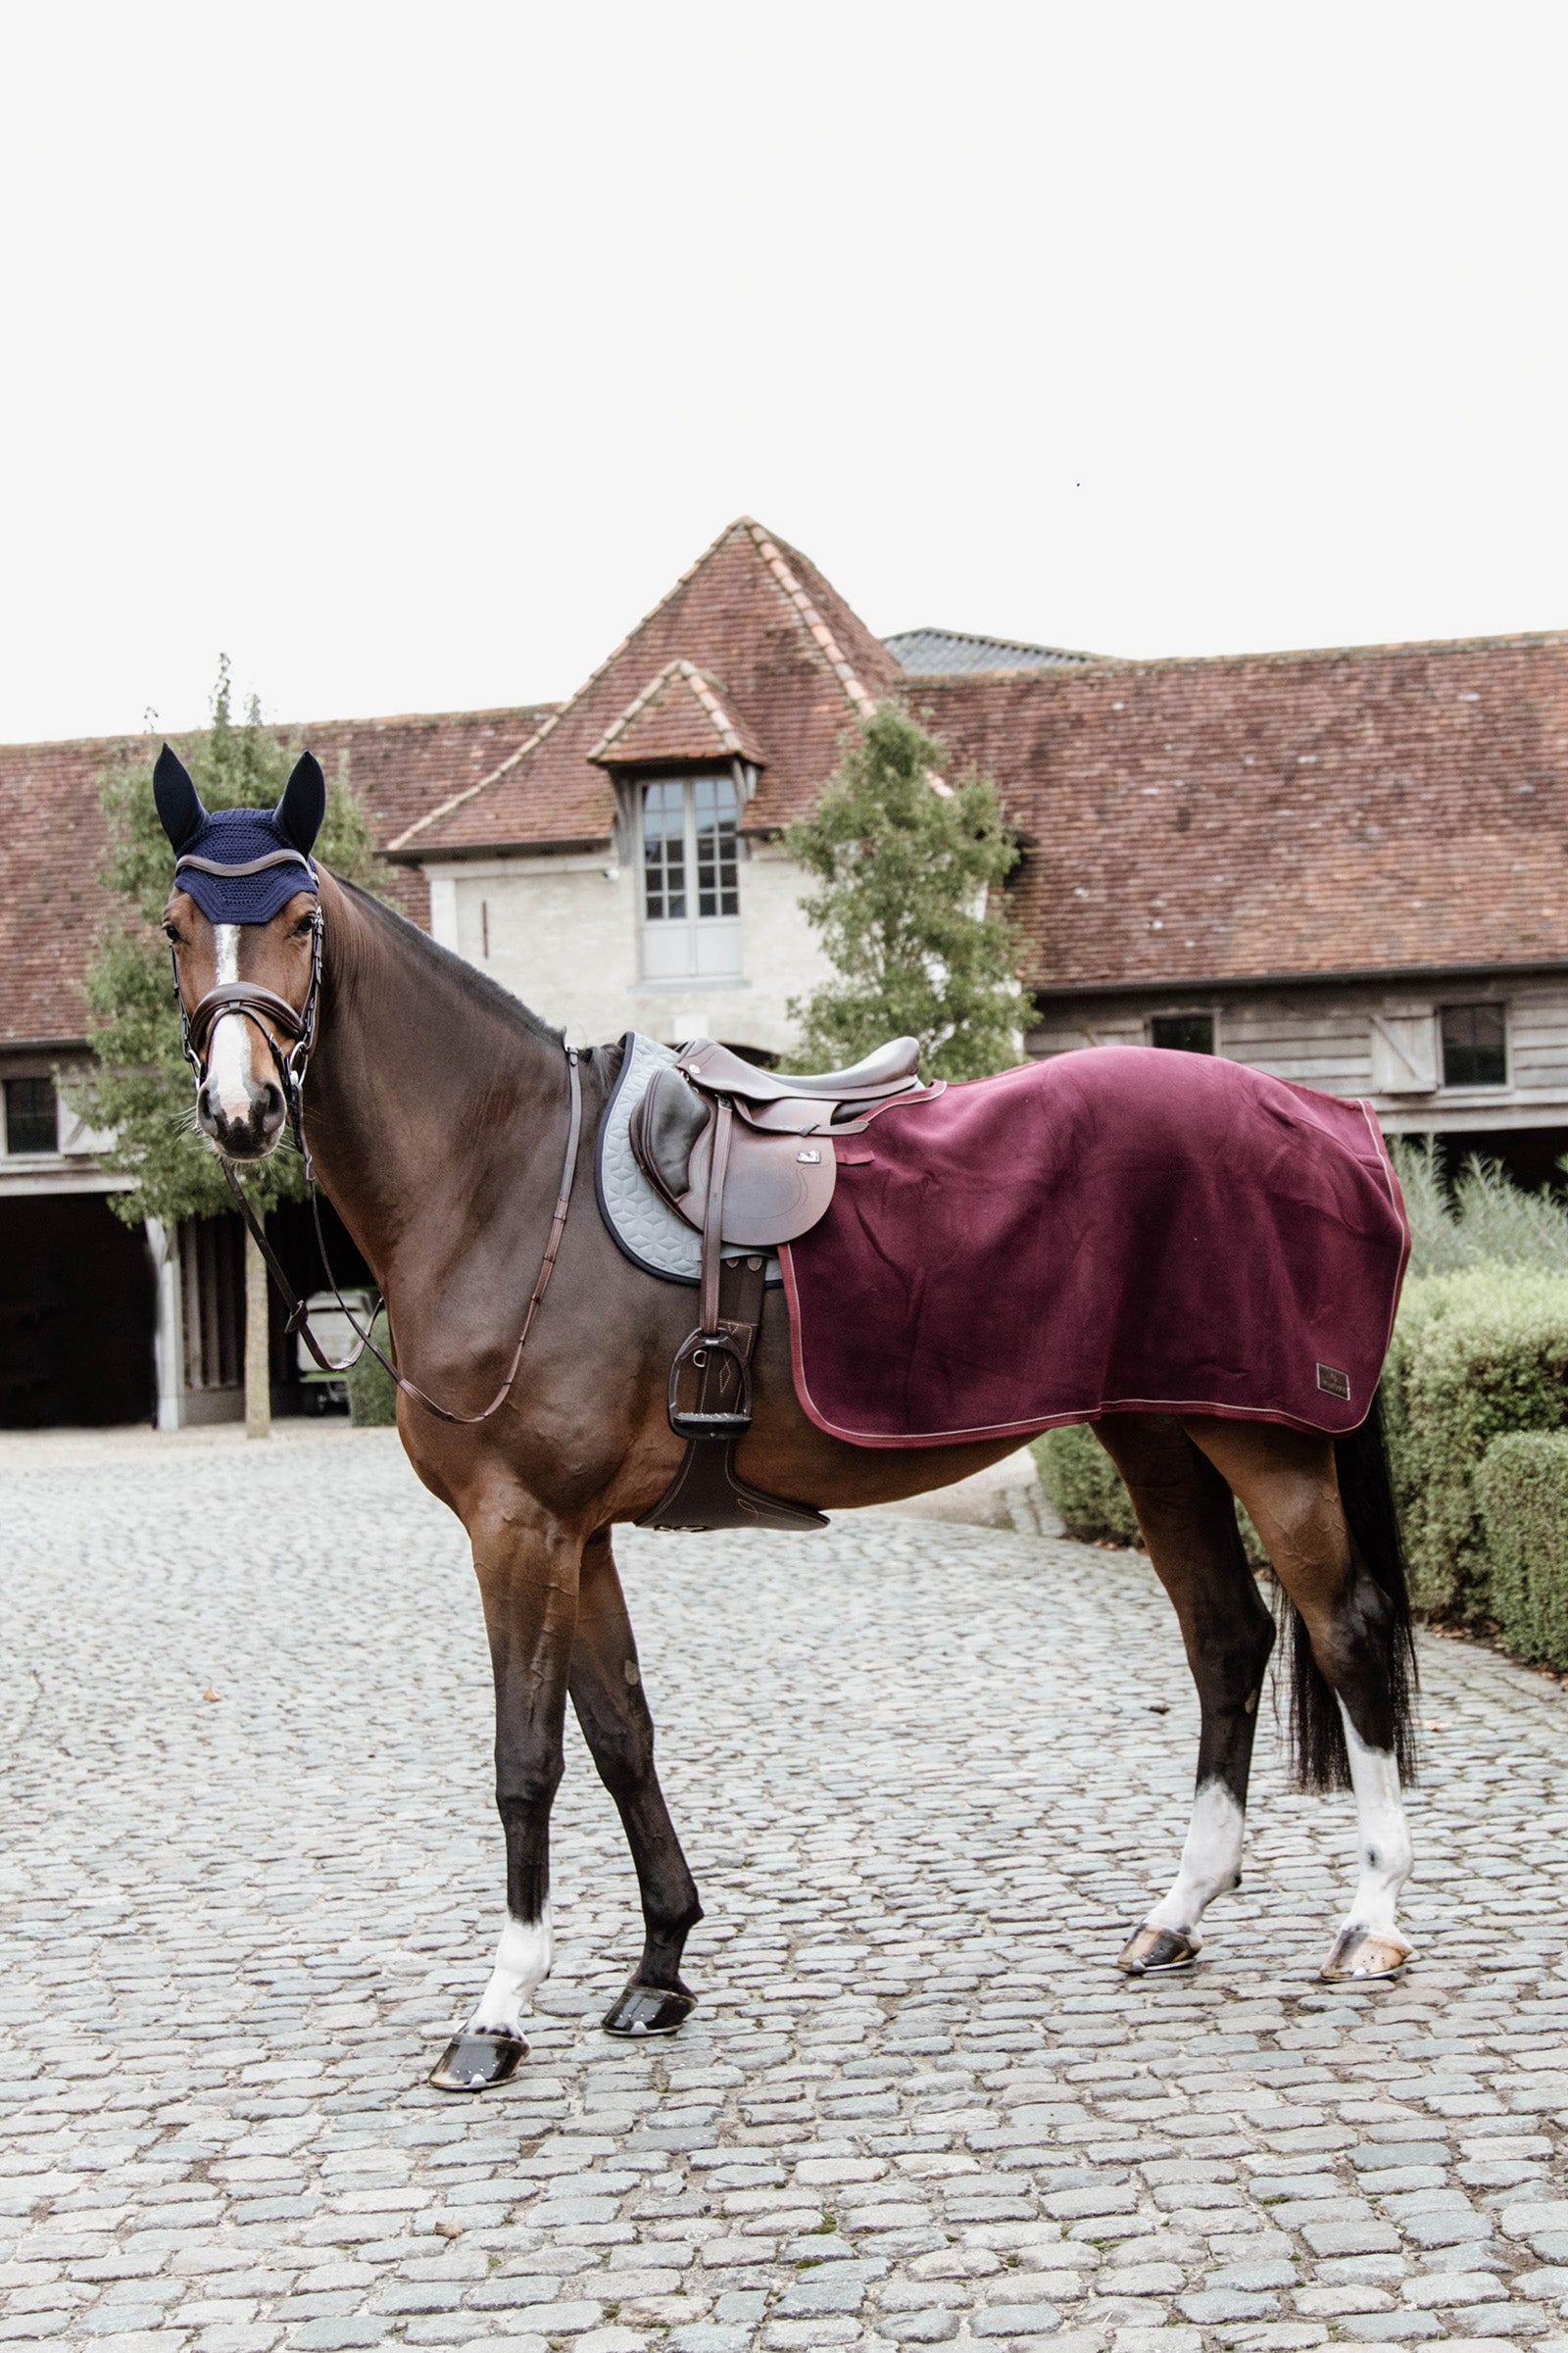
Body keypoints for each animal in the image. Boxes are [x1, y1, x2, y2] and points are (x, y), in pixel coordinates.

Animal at [153, 747, 1418, 2094]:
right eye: (175, 923)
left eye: (299, 921)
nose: (240, 1110)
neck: (509, 1184)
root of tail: (1331, 1123)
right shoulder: (578, 1534)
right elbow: (622, 1735)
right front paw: (659, 1967)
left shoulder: (518, 1526)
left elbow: (526, 1760)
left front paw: (499, 2009)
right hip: (1163, 1436)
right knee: (1227, 1639)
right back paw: (1176, 1913)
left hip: (1267, 1443)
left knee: (1345, 1634)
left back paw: (1371, 1922)